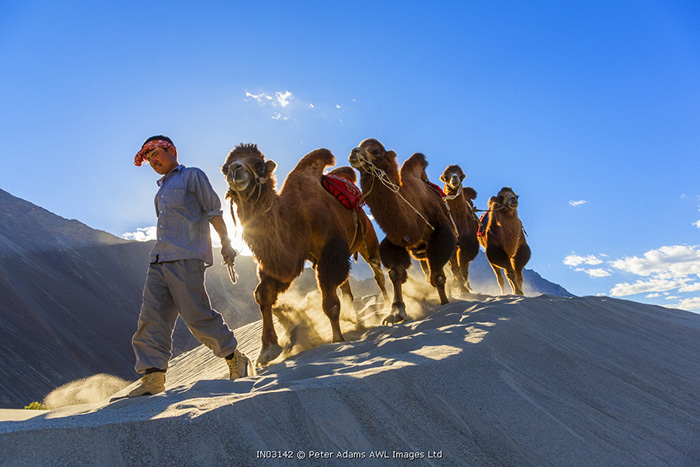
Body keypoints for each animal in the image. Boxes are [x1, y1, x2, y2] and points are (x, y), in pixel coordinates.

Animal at [221, 144, 388, 368]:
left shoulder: (330, 248)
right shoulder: (288, 260)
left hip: (367, 238)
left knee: (377, 273)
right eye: (224, 169)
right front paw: (268, 350)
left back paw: (389, 307)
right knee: (346, 287)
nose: (235, 170)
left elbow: (329, 301)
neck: (298, 216)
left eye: (260, 166)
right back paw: (353, 318)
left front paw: (337, 339)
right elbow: (263, 293)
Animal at [348, 137, 456, 324]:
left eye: (376, 151)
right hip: (420, 252)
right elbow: (396, 272)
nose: (355, 152)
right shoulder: (397, 241)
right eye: (361, 146)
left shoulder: (440, 231)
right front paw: (396, 311)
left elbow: (437, 274)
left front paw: (445, 303)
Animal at [440, 166, 478, 294]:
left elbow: (463, 264)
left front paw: (463, 286)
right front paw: (461, 287)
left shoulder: (468, 243)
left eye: (460, 175)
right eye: (446, 176)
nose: (454, 177)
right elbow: (455, 266)